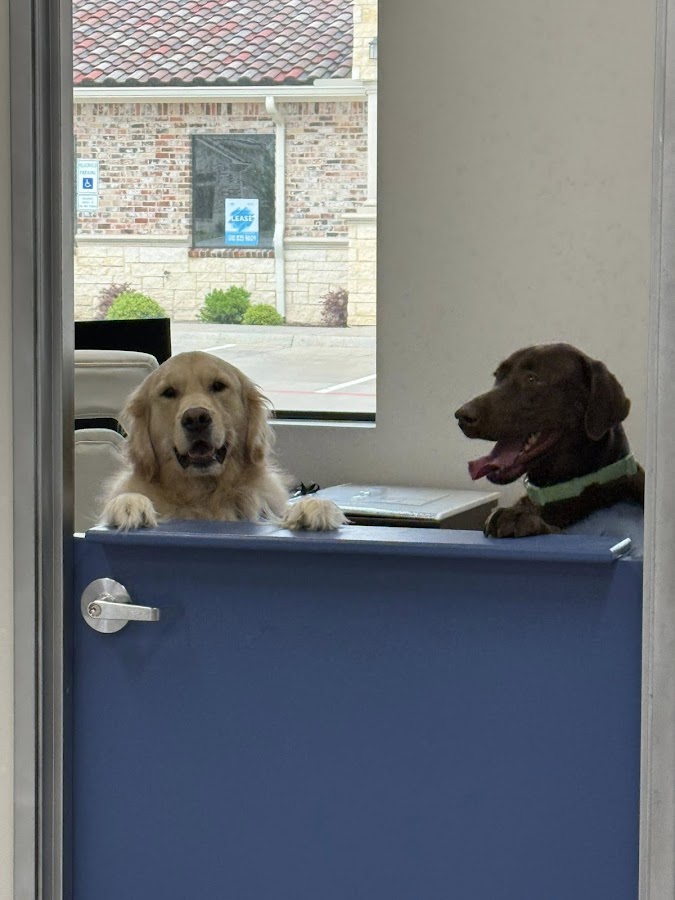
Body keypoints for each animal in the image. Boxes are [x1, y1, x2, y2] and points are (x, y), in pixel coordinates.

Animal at [100, 351, 348, 532]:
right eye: (168, 392)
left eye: (218, 386)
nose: (196, 418)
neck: (204, 495)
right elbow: (130, 498)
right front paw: (129, 504)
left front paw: (313, 507)